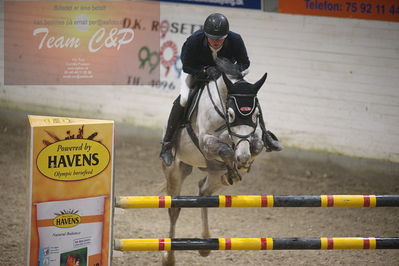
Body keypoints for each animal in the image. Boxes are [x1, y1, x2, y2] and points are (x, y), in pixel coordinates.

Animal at [161, 57, 268, 264]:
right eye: (232, 114)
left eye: (256, 115)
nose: (243, 157)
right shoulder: (205, 140)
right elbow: (226, 149)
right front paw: (236, 163)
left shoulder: (253, 136)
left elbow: (256, 145)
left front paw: (242, 165)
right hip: (175, 170)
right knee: (174, 209)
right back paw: (169, 257)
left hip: (213, 175)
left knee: (203, 191)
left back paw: (205, 245)